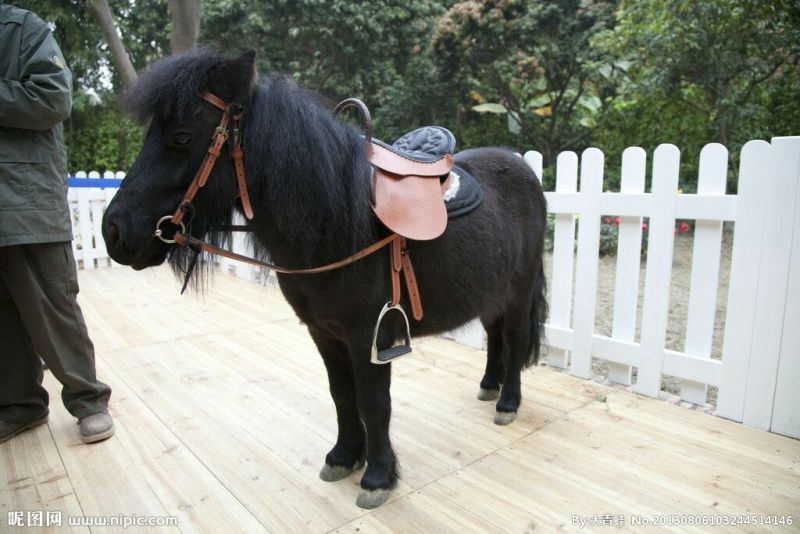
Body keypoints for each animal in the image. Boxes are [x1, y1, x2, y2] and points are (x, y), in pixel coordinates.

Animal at [101, 49, 548, 509]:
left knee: (514, 341)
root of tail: (523, 168)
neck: (335, 219)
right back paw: (489, 386)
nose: (113, 231)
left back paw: (507, 402)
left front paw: (378, 476)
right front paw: (345, 456)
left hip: (518, 294)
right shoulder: (324, 333)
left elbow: (373, 402)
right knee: (494, 336)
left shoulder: (370, 336)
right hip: (492, 294)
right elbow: (341, 395)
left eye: (181, 138)